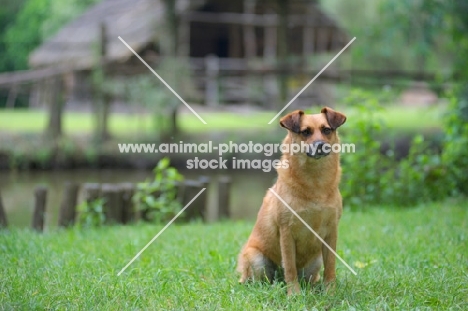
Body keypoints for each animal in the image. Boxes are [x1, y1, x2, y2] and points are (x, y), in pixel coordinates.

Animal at [238, 106, 348, 294]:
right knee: (263, 280)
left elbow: (330, 266)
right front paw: (294, 294)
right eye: (305, 132)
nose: (320, 145)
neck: (314, 182)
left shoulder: (331, 231)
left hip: (316, 261)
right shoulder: (286, 232)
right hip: (257, 258)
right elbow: (290, 267)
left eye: (326, 130)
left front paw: (330, 291)